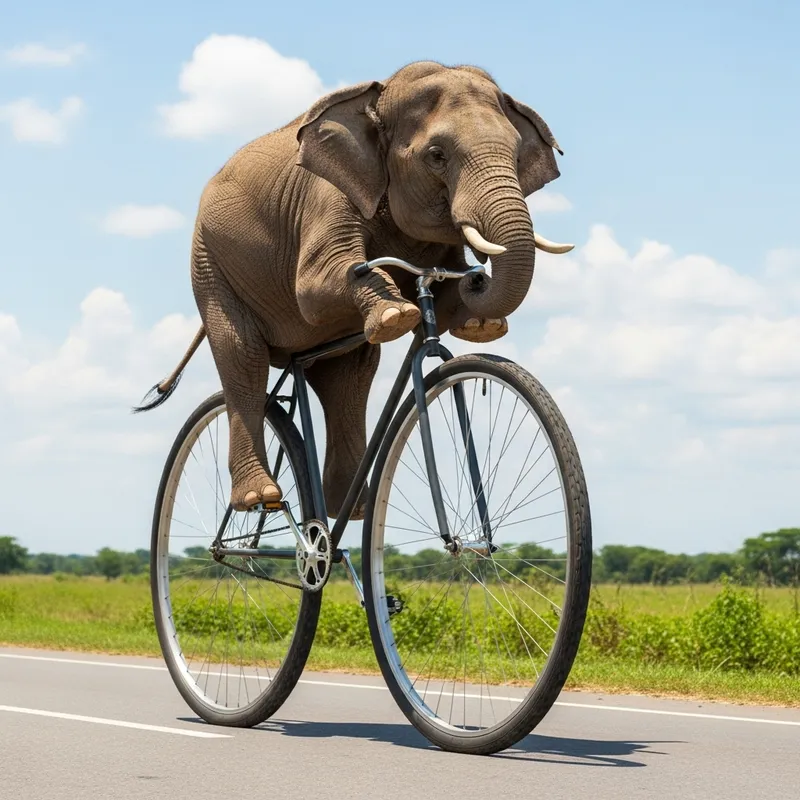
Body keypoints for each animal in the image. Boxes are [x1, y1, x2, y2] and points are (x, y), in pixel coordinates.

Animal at [135, 60, 574, 521]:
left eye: (517, 154)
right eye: (437, 156)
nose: (480, 277)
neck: (380, 99)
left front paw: (478, 322)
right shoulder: (328, 194)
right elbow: (314, 288)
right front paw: (398, 315)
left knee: (350, 375)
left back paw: (352, 509)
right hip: (209, 261)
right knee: (244, 356)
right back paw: (261, 500)